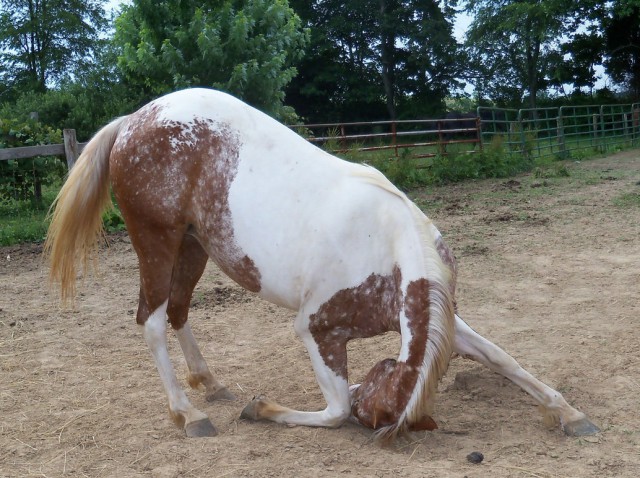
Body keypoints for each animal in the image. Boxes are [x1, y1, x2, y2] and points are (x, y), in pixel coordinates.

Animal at [46, 88, 600, 440]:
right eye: (373, 414)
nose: (360, 397)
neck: (390, 248)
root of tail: (134, 120)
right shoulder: (317, 330)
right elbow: (334, 412)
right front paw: (262, 408)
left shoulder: (441, 319)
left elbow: (503, 358)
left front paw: (569, 412)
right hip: (157, 242)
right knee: (154, 321)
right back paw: (188, 413)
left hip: (192, 246)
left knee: (178, 311)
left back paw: (210, 384)